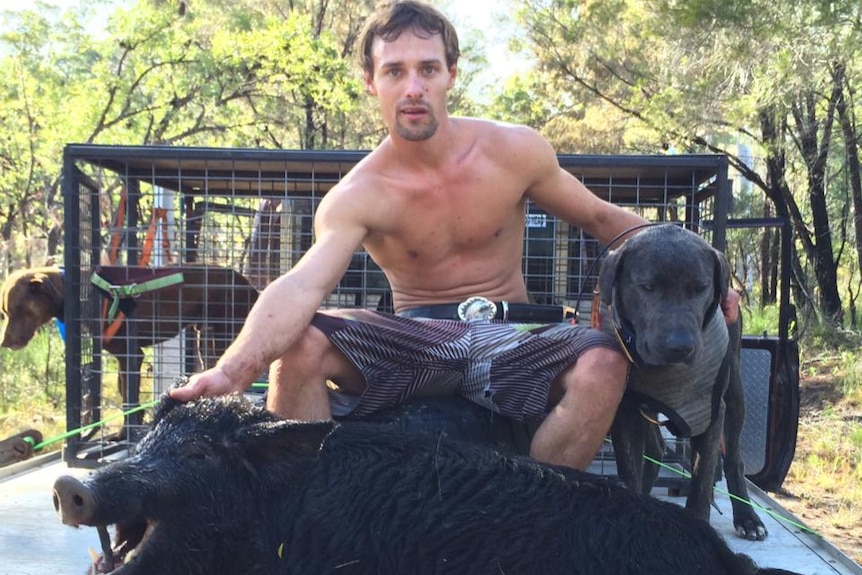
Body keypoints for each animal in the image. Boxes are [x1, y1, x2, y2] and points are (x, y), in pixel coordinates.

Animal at [1, 266, 258, 428]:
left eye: (17, 309)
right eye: (5, 312)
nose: (4, 344)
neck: (82, 295)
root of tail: (249, 285)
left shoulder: (132, 355)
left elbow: (129, 401)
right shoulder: (123, 359)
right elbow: (125, 395)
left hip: (225, 334)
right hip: (205, 338)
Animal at [596, 224, 768, 540]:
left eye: (700, 288)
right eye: (647, 287)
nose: (681, 346)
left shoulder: (711, 413)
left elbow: (701, 483)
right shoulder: (626, 412)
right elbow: (631, 469)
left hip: (735, 394)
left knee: (734, 459)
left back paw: (748, 518)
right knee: (655, 448)